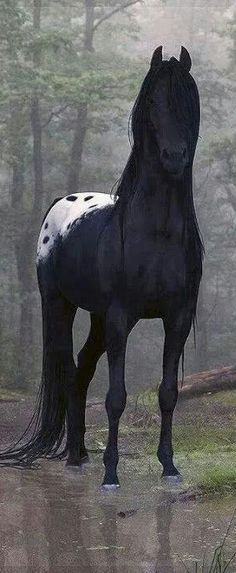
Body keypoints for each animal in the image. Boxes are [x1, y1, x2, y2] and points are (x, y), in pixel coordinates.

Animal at [0, 48, 203, 488]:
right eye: (152, 101)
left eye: (188, 101)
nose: (175, 158)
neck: (156, 232)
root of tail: (61, 203)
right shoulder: (121, 316)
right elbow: (116, 397)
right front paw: (111, 473)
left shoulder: (177, 317)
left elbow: (167, 393)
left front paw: (169, 466)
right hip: (61, 306)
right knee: (68, 369)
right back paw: (76, 457)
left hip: (96, 318)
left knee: (81, 372)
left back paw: (78, 453)